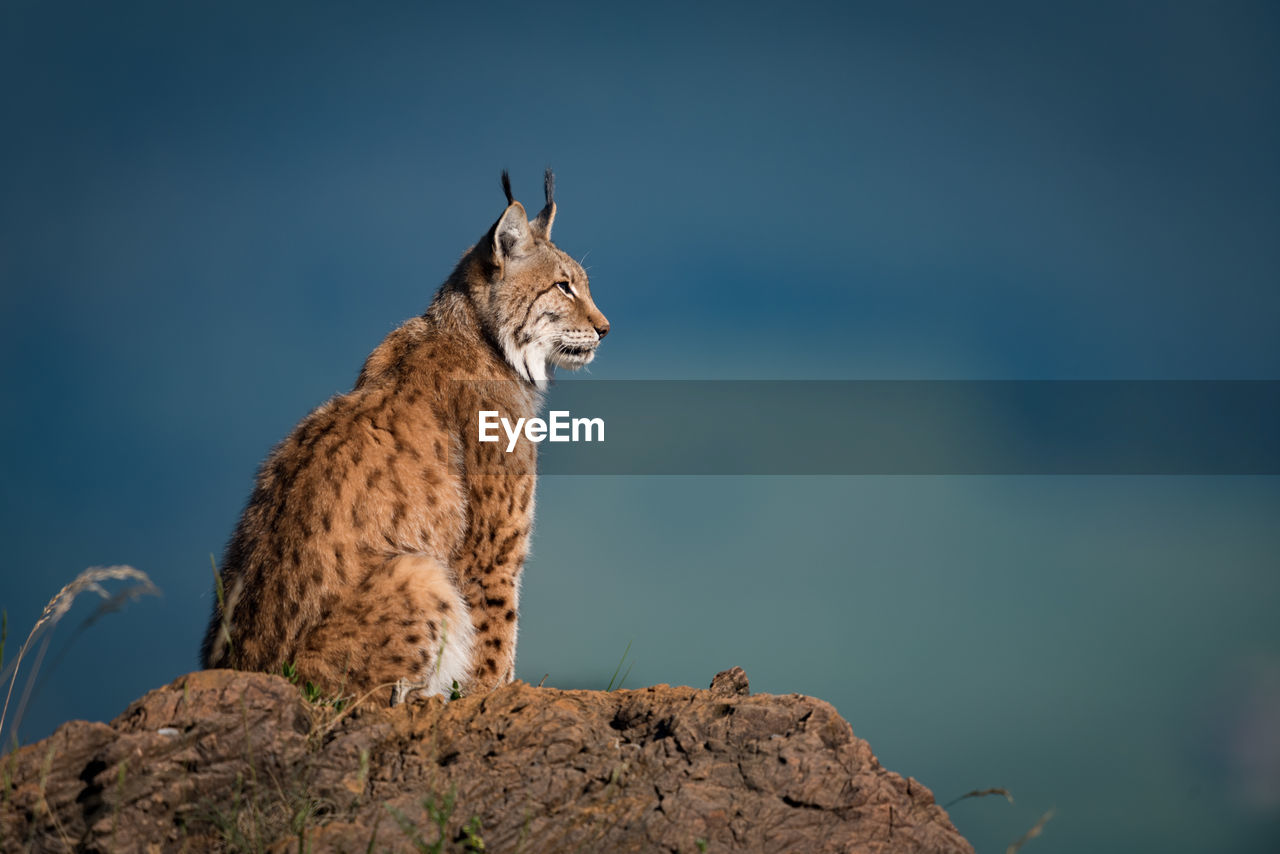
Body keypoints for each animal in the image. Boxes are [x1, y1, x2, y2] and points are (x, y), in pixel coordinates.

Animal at [203, 171, 609, 701]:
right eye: (564, 287)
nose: (605, 329)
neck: (486, 340)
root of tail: (246, 668)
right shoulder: (493, 550)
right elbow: (495, 639)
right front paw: (490, 696)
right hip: (419, 571)